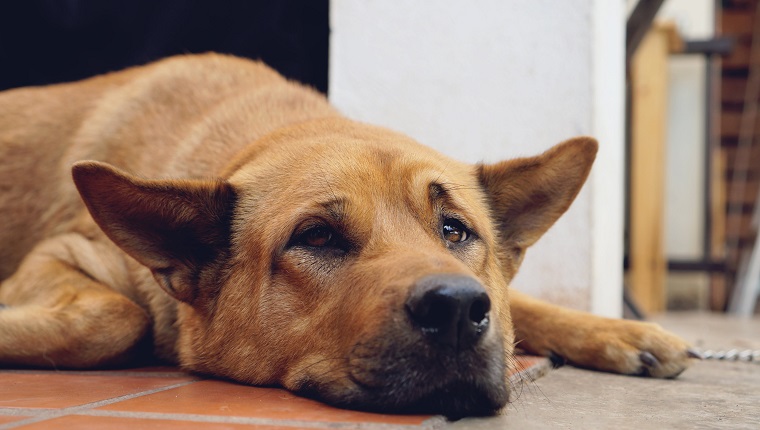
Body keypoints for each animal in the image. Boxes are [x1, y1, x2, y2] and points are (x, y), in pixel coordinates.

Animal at [0, 53, 696, 416]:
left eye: (455, 230)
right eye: (317, 238)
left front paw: (625, 332)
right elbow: (115, 317)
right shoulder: (65, 254)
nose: (457, 308)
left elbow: (523, 304)